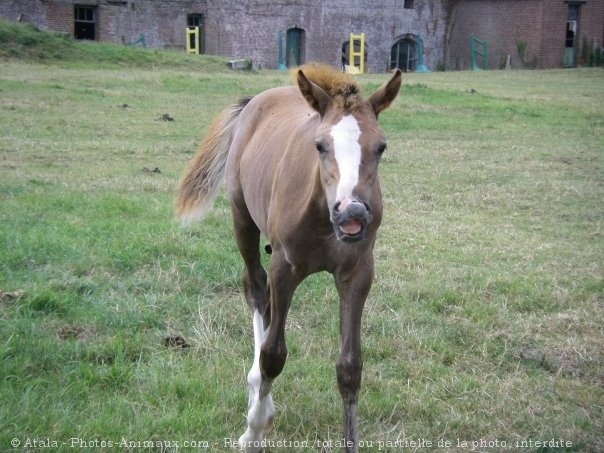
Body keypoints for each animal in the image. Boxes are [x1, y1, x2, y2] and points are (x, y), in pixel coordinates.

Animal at [175, 64, 402, 452]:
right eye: (320, 145)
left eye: (381, 147)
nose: (352, 213)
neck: (324, 218)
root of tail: (257, 99)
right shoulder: (285, 267)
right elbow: (273, 355)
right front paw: (252, 432)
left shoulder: (358, 273)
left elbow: (350, 368)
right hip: (242, 218)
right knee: (255, 287)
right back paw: (258, 397)